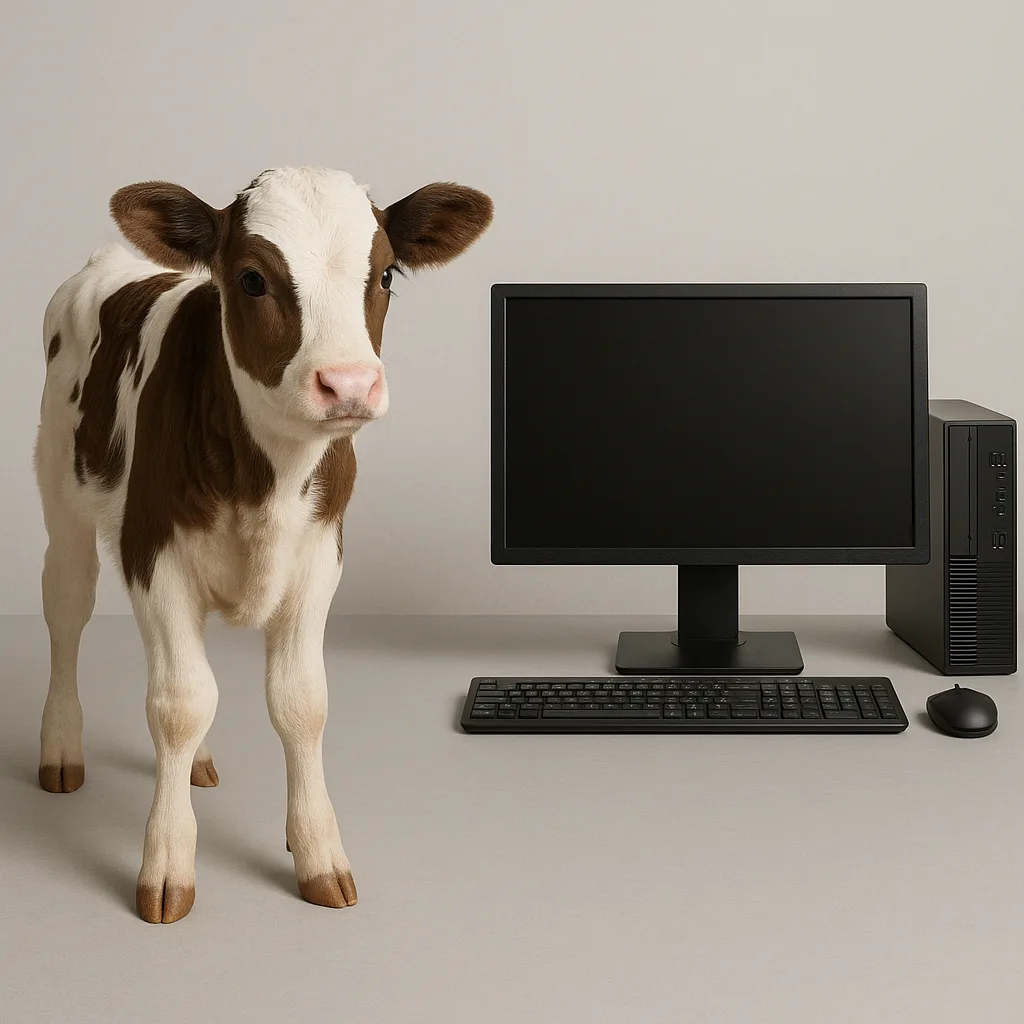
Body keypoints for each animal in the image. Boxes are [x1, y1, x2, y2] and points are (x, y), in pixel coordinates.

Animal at [35, 166, 493, 923]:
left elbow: (299, 702)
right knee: (67, 615)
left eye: (386, 273)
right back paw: (60, 752)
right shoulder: (152, 550)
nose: (349, 383)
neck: (266, 478)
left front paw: (318, 854)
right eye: (252, 279)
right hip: (59, 497)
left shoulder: (319, 559)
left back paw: (196, 764)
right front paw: (168, 864)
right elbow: (179, 703)